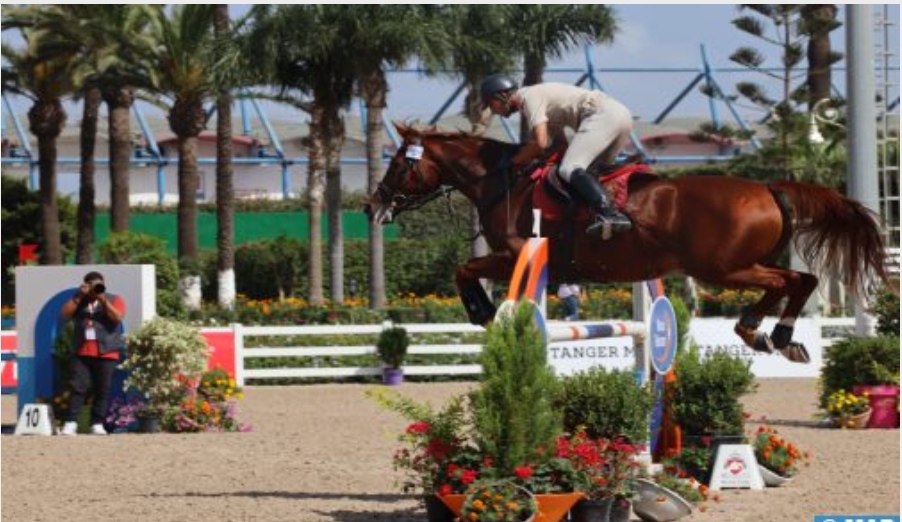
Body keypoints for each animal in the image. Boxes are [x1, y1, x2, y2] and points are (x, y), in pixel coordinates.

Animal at [368, 126, 888, 362]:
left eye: (398, 163)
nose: (374, 203)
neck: (503, 181)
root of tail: (768, 188)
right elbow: (464, 269)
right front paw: (484, 311)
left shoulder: (516, 255)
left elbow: (463, 270)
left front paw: (482, 311)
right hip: (738, 265)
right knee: (799, 280)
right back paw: (770, 334)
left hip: (722, 268)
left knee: (790, 281)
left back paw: (765, 333)